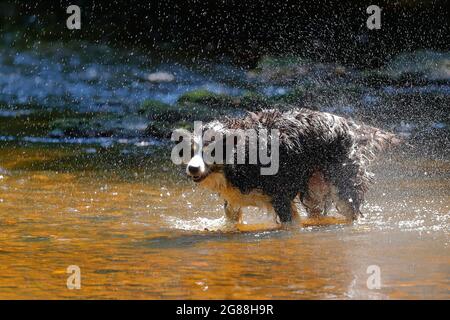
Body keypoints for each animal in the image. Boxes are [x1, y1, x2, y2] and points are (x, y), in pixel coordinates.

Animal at [173, 109, 400, 226]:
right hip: (314, 186)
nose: (192, 169)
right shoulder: (233, 198)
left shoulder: (280, 195)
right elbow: (231, 217)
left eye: (212, 151)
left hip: (341, 178)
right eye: (190, 151)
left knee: (350, 209)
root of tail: (348, 125)